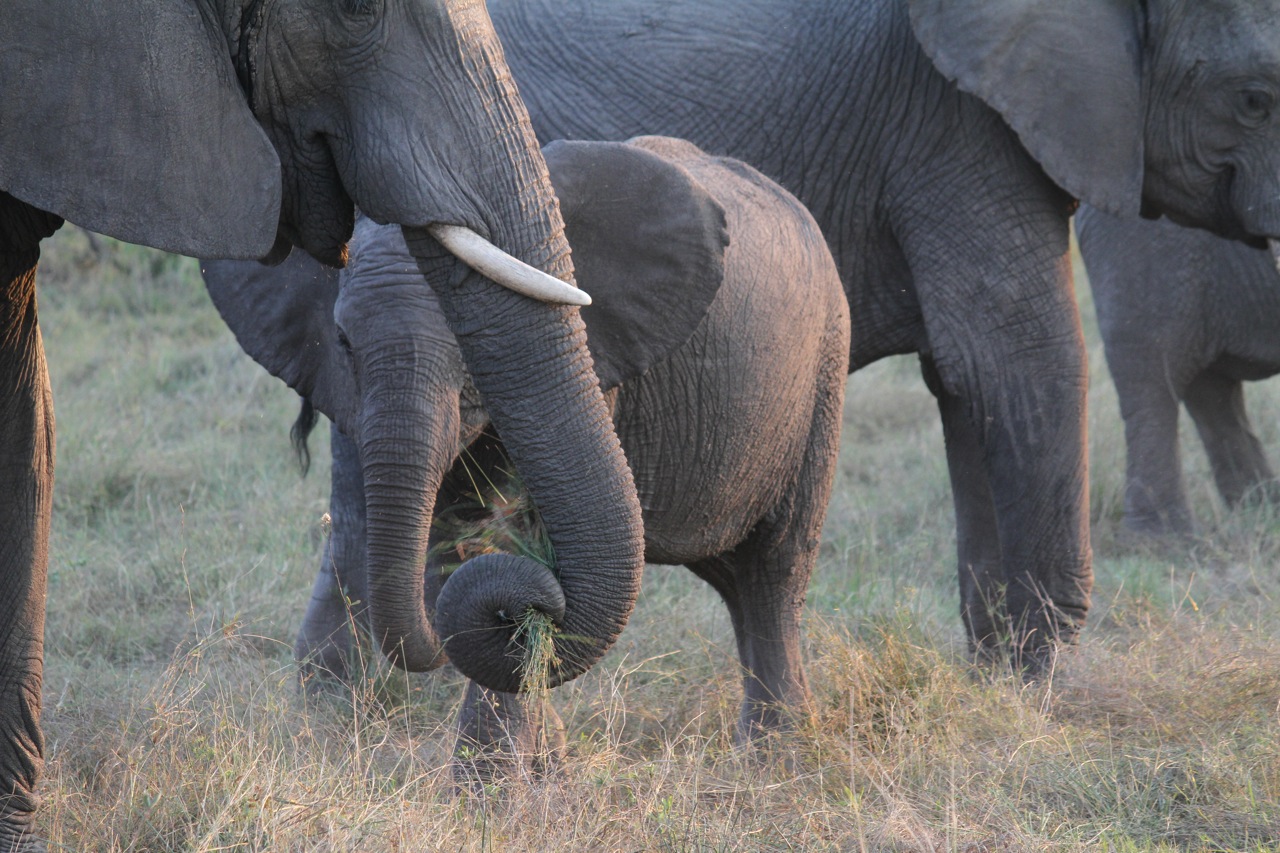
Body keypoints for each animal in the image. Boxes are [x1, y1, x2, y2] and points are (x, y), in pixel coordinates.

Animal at [202, 137, 849, 763]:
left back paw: (776, 755)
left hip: (824, 368)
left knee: (774, 566)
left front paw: (495, 776)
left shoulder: (590, 363)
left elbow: (521, 534)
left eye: (475, 347)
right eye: (341, 341)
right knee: (731, 575)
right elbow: (423, 522)